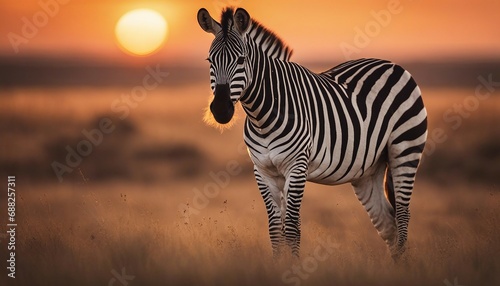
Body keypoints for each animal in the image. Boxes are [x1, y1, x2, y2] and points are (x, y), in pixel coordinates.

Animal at [195, 7, 426, 262]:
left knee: (402, 214)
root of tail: (392, 64)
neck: (262, 116)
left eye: (241, 60)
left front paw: (292, 268)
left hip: (405, 148)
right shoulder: (263, 171)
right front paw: (276, 267)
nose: (221, 110)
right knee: (387, 224)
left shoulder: (297, 166)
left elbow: (292, 228)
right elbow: (275, 228)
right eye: (209, 61)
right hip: (368, 170)